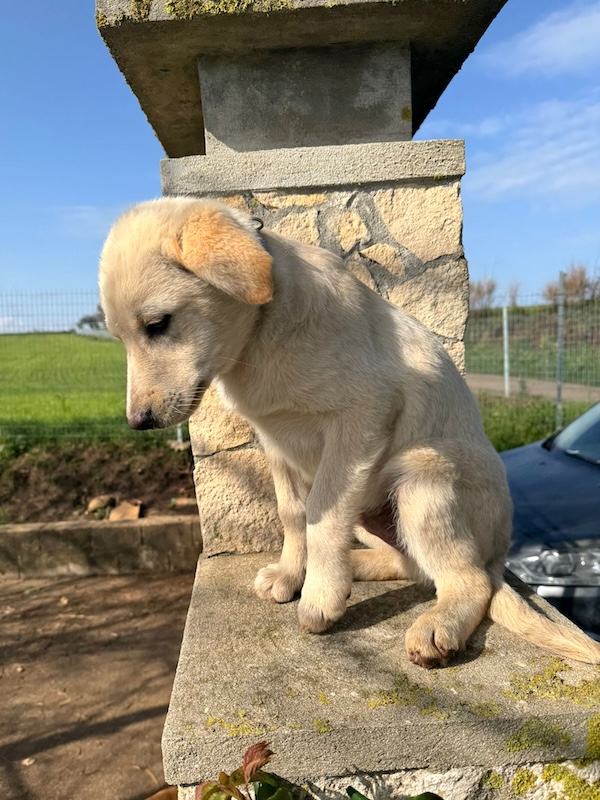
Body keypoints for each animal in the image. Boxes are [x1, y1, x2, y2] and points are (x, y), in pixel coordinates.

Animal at [99, 197, 600, 668]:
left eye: (158, 324)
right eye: (120, 339)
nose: (138, 422)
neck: (260, 338)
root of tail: (497, 557)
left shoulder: (361, 417)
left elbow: (320, 512)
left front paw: (320, 596)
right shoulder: (276, 440)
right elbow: (293, 514)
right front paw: (293, 573)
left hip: (422, 479)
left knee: (467, 581)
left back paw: (437, 624)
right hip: (374, 510)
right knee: (415, 566)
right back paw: (355, 564)